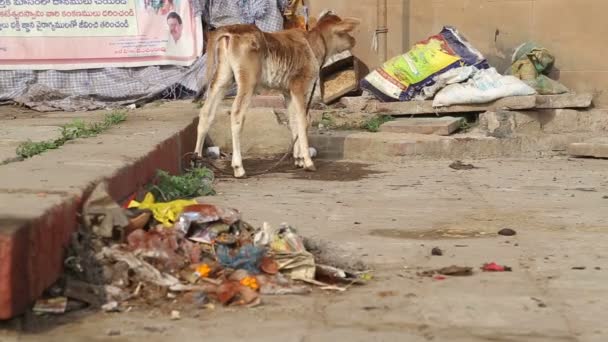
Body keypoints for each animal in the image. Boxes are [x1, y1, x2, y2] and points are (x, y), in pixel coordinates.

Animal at [192, 12, 358, 178]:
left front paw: (298, 159)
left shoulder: (288, 91)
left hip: (223, 78)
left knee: (206, 112)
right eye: (344, 32)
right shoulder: (299, 87)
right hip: (247, 81)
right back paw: (238, 167)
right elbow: (304, 121)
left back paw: (198, 161)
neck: (313, 45)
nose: (353, 40)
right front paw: (307, 161)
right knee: (237, 115)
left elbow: (293, 121)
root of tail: (231, 29)